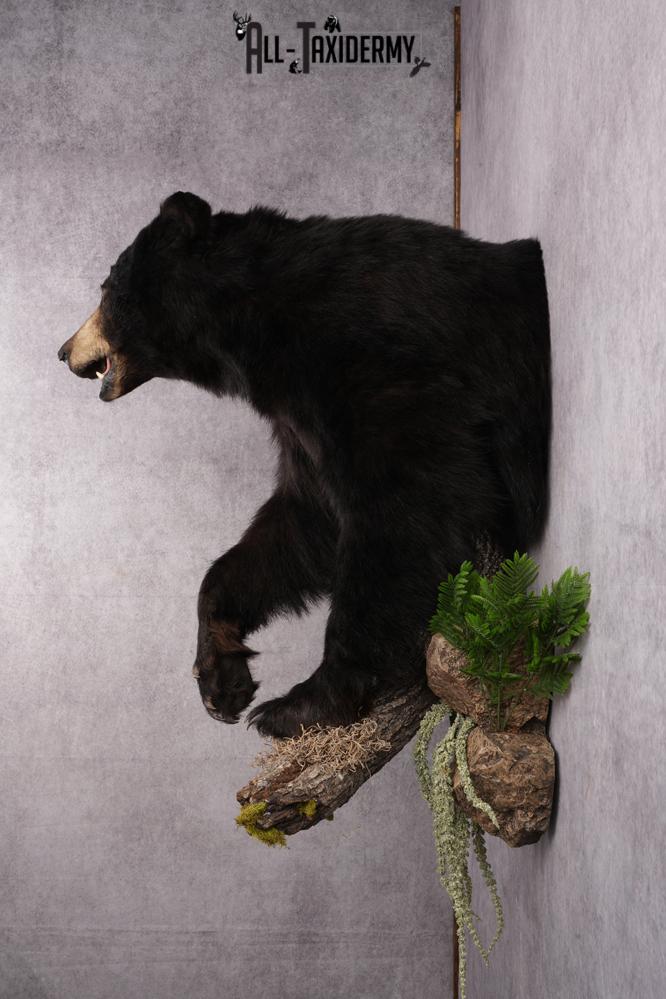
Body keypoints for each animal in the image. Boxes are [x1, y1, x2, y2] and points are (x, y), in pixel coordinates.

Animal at [57, 192, 551, 738]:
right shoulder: (299, 416)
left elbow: (408, 502)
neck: (257, 326)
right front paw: (220, 677)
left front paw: (305, 701)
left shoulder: (371, 359)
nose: (63, 351)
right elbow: (303, 521)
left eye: (106, 290)